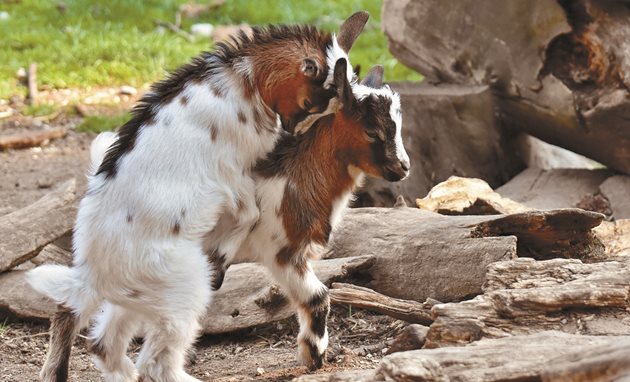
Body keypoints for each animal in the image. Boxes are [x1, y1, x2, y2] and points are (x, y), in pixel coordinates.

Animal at [209, 58, 414, 368]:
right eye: (371, 131)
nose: (403, 167)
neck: (290, 178)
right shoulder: (281, 250)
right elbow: (318, 295)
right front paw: (314, 353)